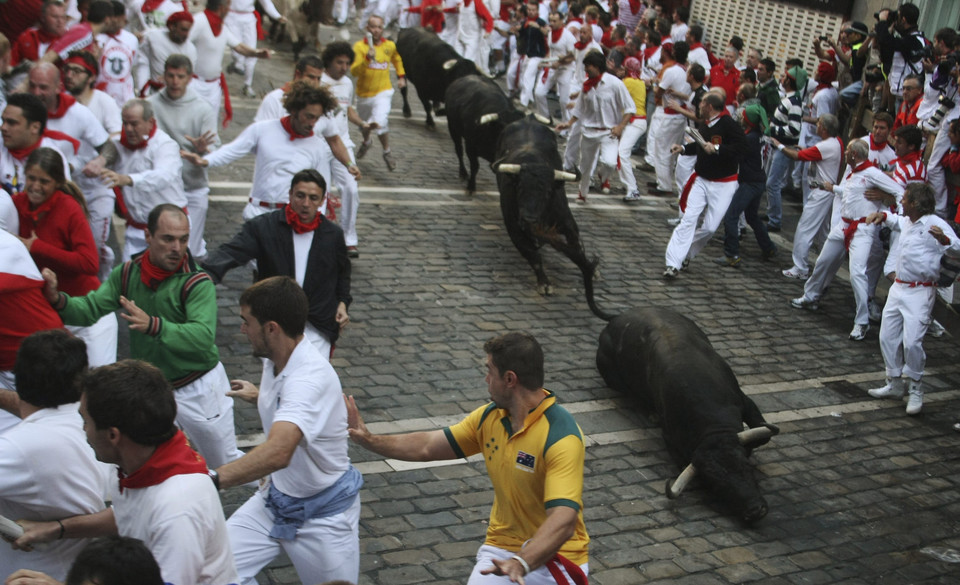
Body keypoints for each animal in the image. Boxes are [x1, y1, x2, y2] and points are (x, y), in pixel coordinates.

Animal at [496, 116, 616, 322]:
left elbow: (577, 247)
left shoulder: (567, 223)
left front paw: (592, 270)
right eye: (520, 188)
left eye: (547, 192)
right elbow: (534, 256)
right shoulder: (514, 228)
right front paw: (544, 284)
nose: (528, 219)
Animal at [600, 308, 780, 524]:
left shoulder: (744, 401)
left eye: (745, 466)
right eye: (715, 483)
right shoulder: (670, 435)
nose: (755, 510)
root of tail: (619, 316)